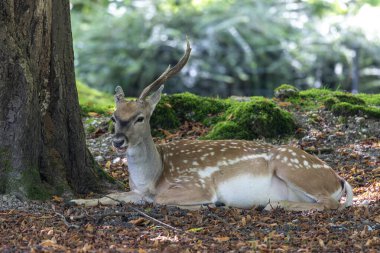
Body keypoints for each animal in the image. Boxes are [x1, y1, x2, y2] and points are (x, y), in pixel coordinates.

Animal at [72, 39, 354, 210]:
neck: (153, 176)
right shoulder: (136, 192)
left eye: (140, 117)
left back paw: (273, 204)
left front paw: (209, 204)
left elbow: (160, 200)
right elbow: (111, 195)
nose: (118, 141)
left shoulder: (197, 184)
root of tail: (339, 179)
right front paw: (76, 200)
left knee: (329, 204)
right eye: (114, 117)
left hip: (291, 166)